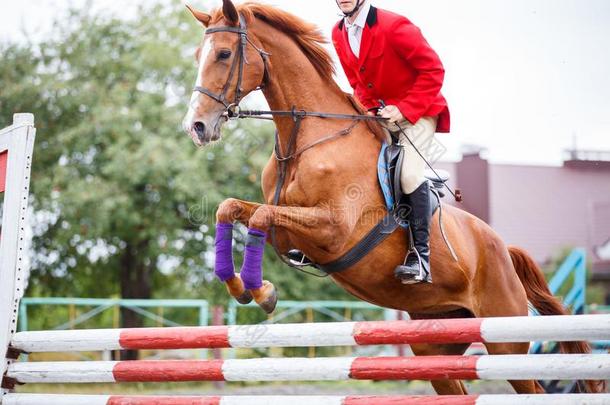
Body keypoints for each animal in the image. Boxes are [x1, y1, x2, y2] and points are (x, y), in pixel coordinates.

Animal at [180, 0, 600, 392]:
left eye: (224, 54)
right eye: (199, 56)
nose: (196, 126)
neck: (305, 139)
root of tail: (504, 250)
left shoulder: (332, 229)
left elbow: (261, 216)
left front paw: (262, 291)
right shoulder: (287, 226)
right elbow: (230, 208)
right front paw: (242, 287)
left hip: (503, 339)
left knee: (528, 381)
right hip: (436, 342)